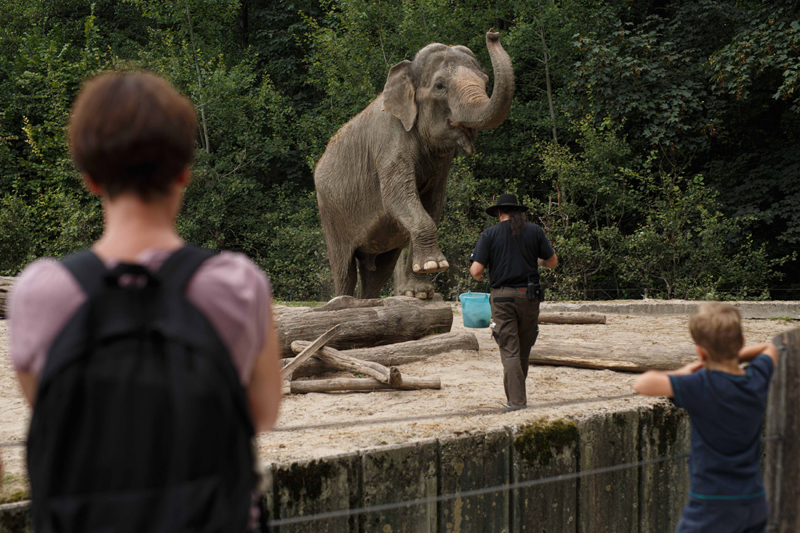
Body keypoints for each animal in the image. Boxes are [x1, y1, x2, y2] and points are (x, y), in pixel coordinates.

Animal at [314, 29, 514, 299]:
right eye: (440, 86)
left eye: (484, 81)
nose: (493, 33)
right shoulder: (389, 140)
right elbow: (398, 196)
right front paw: (434, 266)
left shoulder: (442, 162)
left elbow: (433, 204)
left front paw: (420, 293)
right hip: (331, 214)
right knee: (344, 268)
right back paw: (343, 300)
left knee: (378, 272)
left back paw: (370, 300)